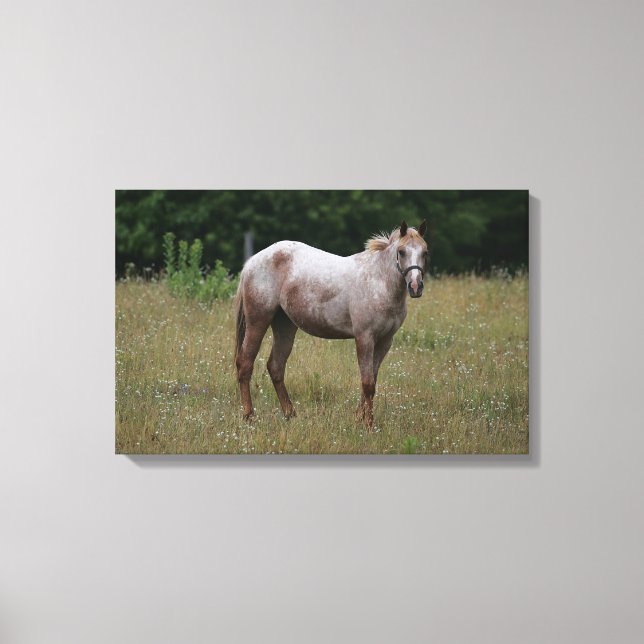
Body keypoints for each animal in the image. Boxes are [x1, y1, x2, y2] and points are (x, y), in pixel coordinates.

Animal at [233, 220, 428, 429]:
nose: (415, 287)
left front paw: (359, 418)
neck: (379, 282)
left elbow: (371, 381)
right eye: (402, 251)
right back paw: (249, 416)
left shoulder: (385, 341)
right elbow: (368, 383)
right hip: (258, 322)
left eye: (425, 252)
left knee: (275, 367)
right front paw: (368, 424)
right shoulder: (364, 338)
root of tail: (252, 262)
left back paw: (290, 414)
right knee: (245, 363)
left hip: (284, 326)